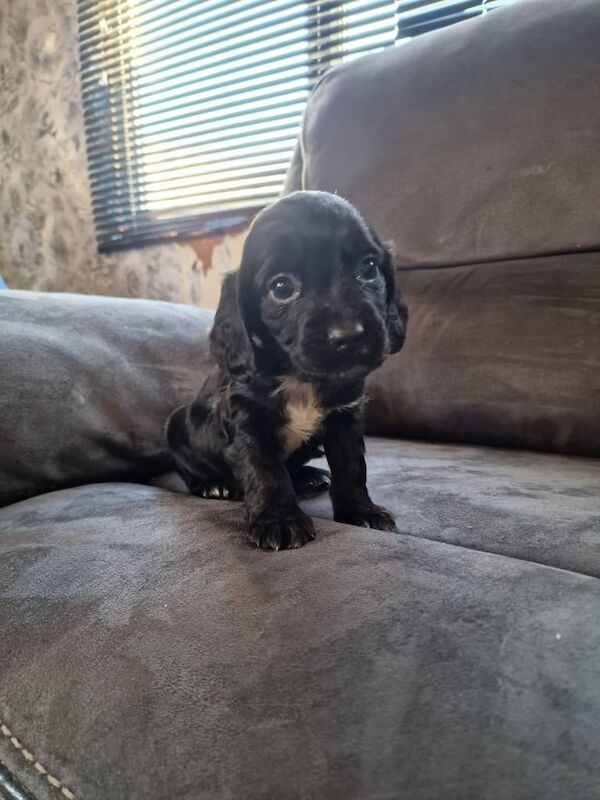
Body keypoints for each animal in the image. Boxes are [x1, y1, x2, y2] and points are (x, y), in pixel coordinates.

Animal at [166, 190, 408, 552]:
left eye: (368, 268)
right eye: (281, 288)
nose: (349, 334)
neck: (300, 376)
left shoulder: (345, 416)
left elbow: (352, 466)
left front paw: (361, 511)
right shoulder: (247, 417)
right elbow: (264, 468)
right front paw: (278, 519)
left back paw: (308, 476)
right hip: (177, 423)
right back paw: (215, 484)